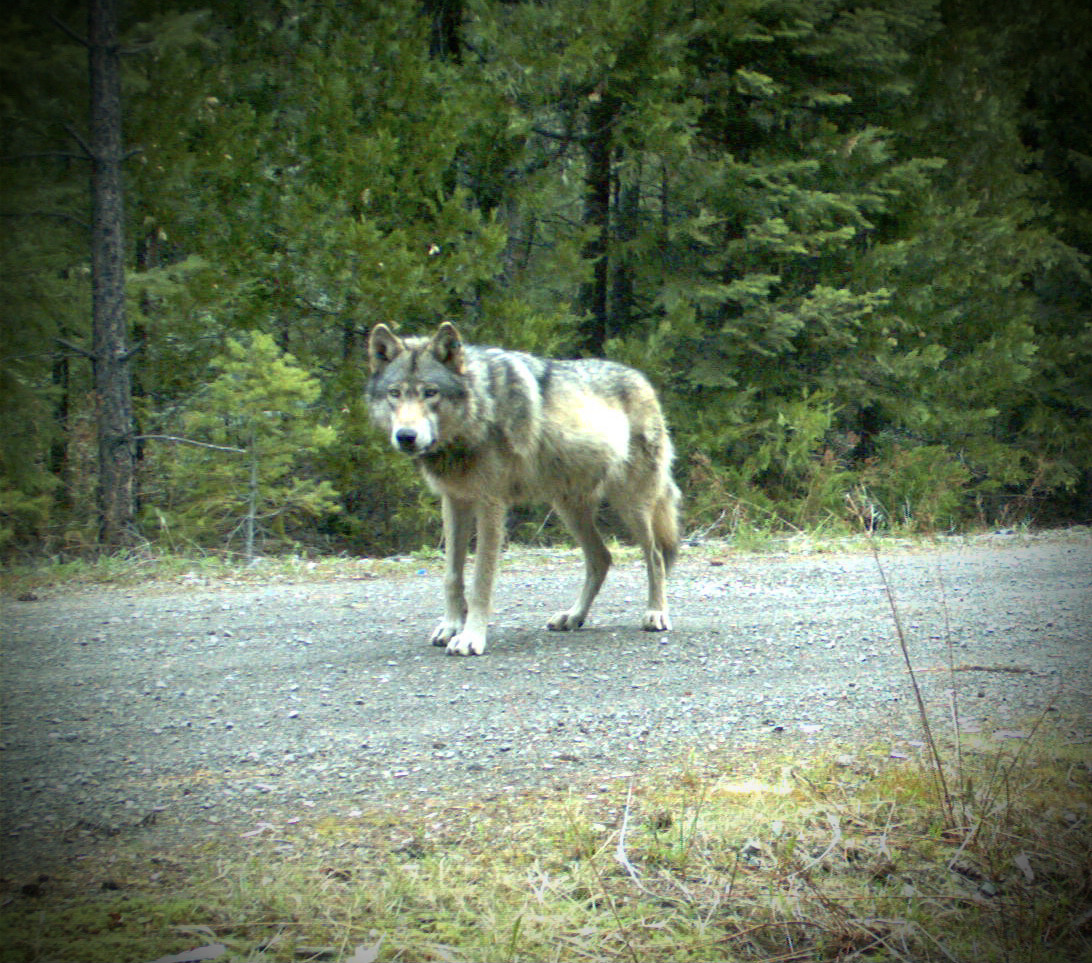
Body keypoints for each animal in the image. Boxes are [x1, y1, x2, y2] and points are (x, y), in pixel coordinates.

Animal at [367, 321, 680, 656]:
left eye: (430, 393)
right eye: (395, 393)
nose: (406, 436)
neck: (479, 411)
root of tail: (643, 379)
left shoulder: (490, 505)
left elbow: (480, 581)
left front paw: (470, 638)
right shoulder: (454, 501)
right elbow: (452, 576)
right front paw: (451, 626)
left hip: (631, 505)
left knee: (655, 555)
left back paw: (656, 613)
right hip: (569, 508)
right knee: (602, 558)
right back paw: (573, 617)